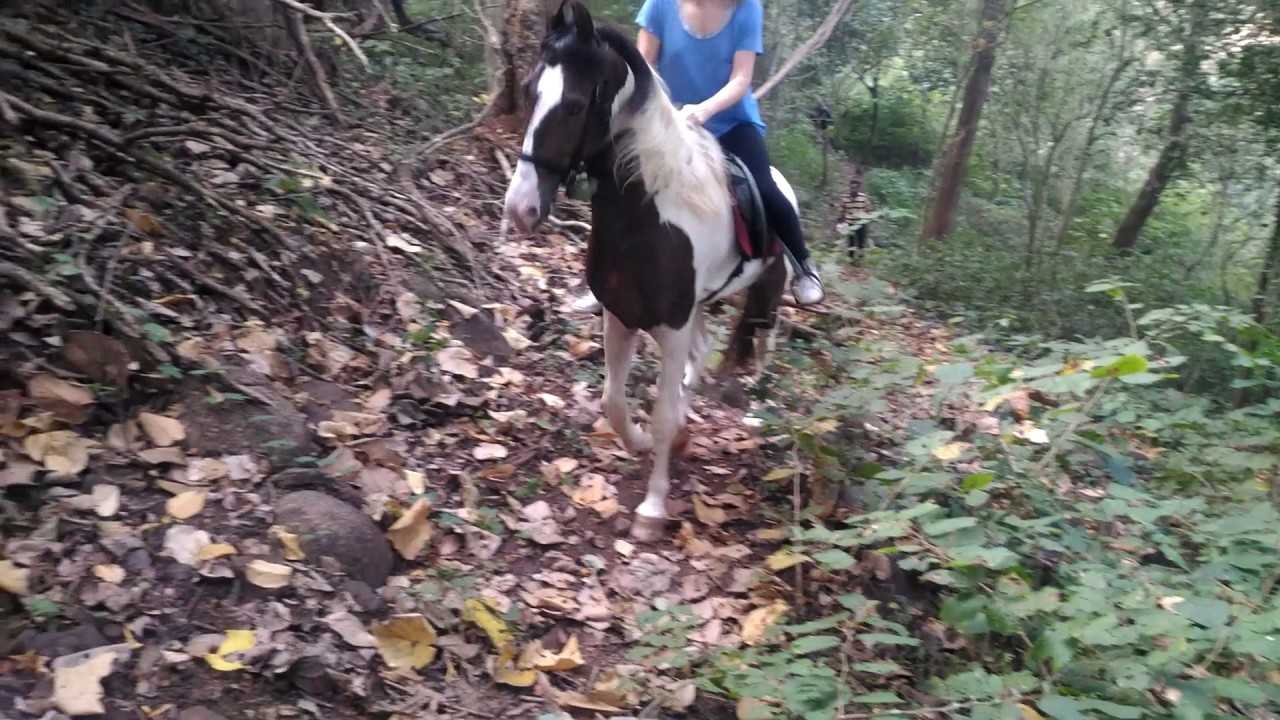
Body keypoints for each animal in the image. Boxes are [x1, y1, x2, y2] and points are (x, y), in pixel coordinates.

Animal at [502, 0, 798, 542]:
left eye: (574, 104)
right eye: (531, 91)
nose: (522, 209)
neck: (649, 216)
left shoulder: (671, 327)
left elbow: (659, 413)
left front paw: (653, 507)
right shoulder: (621, 317)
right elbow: (613, 403)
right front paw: (640, 441)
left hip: (765, 297)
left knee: (762, 341)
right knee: (703, 353)